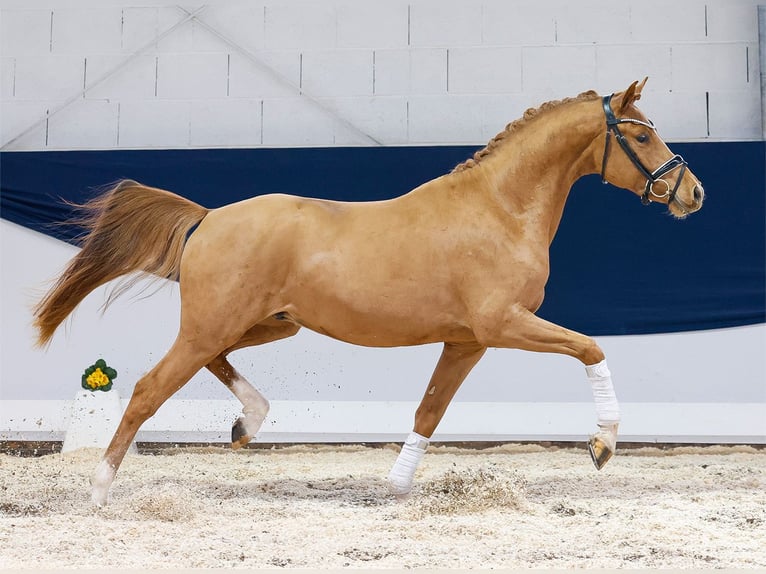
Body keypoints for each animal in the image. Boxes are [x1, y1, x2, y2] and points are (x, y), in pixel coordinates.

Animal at [36, 79, 708, 506]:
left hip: (267, 322)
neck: (499, 209)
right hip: (214, 323)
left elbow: (430, 411)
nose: (692, 193)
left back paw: (249, 422)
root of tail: (210, 217)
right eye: (641, 137)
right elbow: (592, 347)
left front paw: (397, 486)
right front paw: (602, 446)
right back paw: (99, 490)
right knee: (149, 388)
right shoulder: (502, 324)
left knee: (213, 362)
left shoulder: (467, 341)